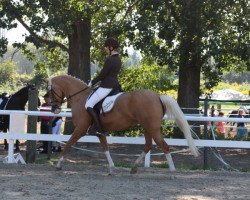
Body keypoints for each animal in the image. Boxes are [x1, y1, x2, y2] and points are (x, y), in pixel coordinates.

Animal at [47, 75, 199, 173]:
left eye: (50, 92)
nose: (55, 109)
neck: (81, 98)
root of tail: (157, 96)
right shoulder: (99, 132)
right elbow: (105, 148)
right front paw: (112, 168)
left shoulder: (80, 129)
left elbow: (68, 144)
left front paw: (58, 165)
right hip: (147, 128)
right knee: (148, 145)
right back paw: (134, 167)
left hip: (152, 128)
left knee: (164, 146)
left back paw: (172, 171)